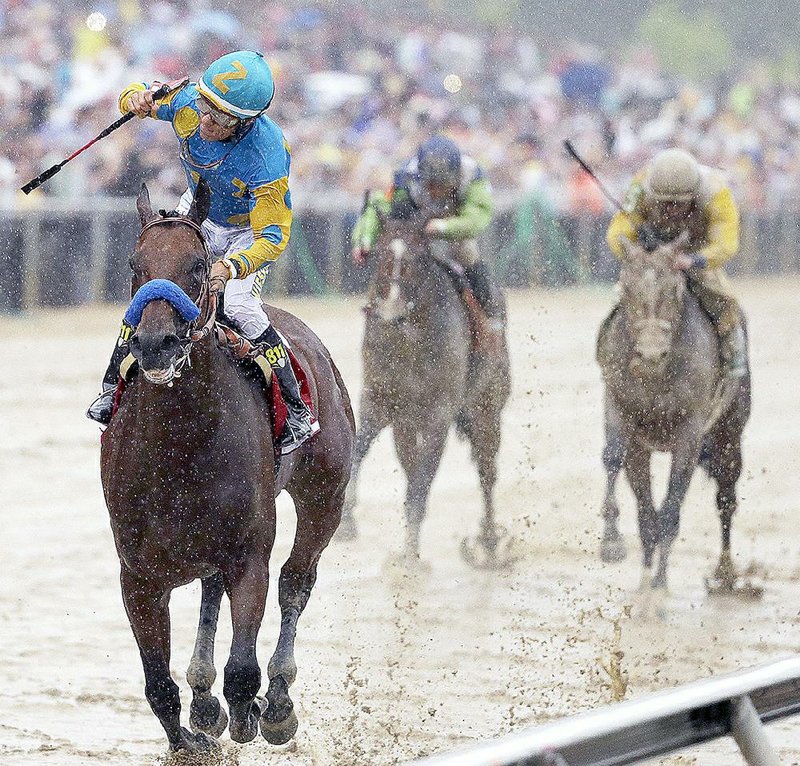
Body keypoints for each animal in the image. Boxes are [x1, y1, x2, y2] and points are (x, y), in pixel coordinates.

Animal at [99, 182, 354, 756]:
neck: (178, 445)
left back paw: (277, 700)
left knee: (296, 580)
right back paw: (204, 698)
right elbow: (158, 685)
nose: (156, 343)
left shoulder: (248, 555)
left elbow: (243, 669)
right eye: (134, 264)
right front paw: (195, 734)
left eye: (197, 266)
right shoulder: (137, 575)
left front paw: (252, 712)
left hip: (325, 493)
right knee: (211, 592)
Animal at [340, 214, 510, 564]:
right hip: (406, 424)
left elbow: (423, 481)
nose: (390, 311)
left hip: (487, 410)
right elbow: (358, 449)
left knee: (486, 472)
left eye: (419, 258)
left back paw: (488, 542)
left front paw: (409, 555)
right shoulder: (378, 401)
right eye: (380, 253)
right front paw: (346, 522)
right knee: (411, 465)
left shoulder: (439, 414)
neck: (409, 340)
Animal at [600, 237, 752, 596]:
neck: (656, 377)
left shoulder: (689, 436)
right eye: (627, 287)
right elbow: (619, 465)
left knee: (726, 498)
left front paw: (658, 583)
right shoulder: (626, 421)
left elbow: (670, 510)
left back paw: (725, 574)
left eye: (675, 289)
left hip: (730, 431)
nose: (650, 354)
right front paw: (615, 545)